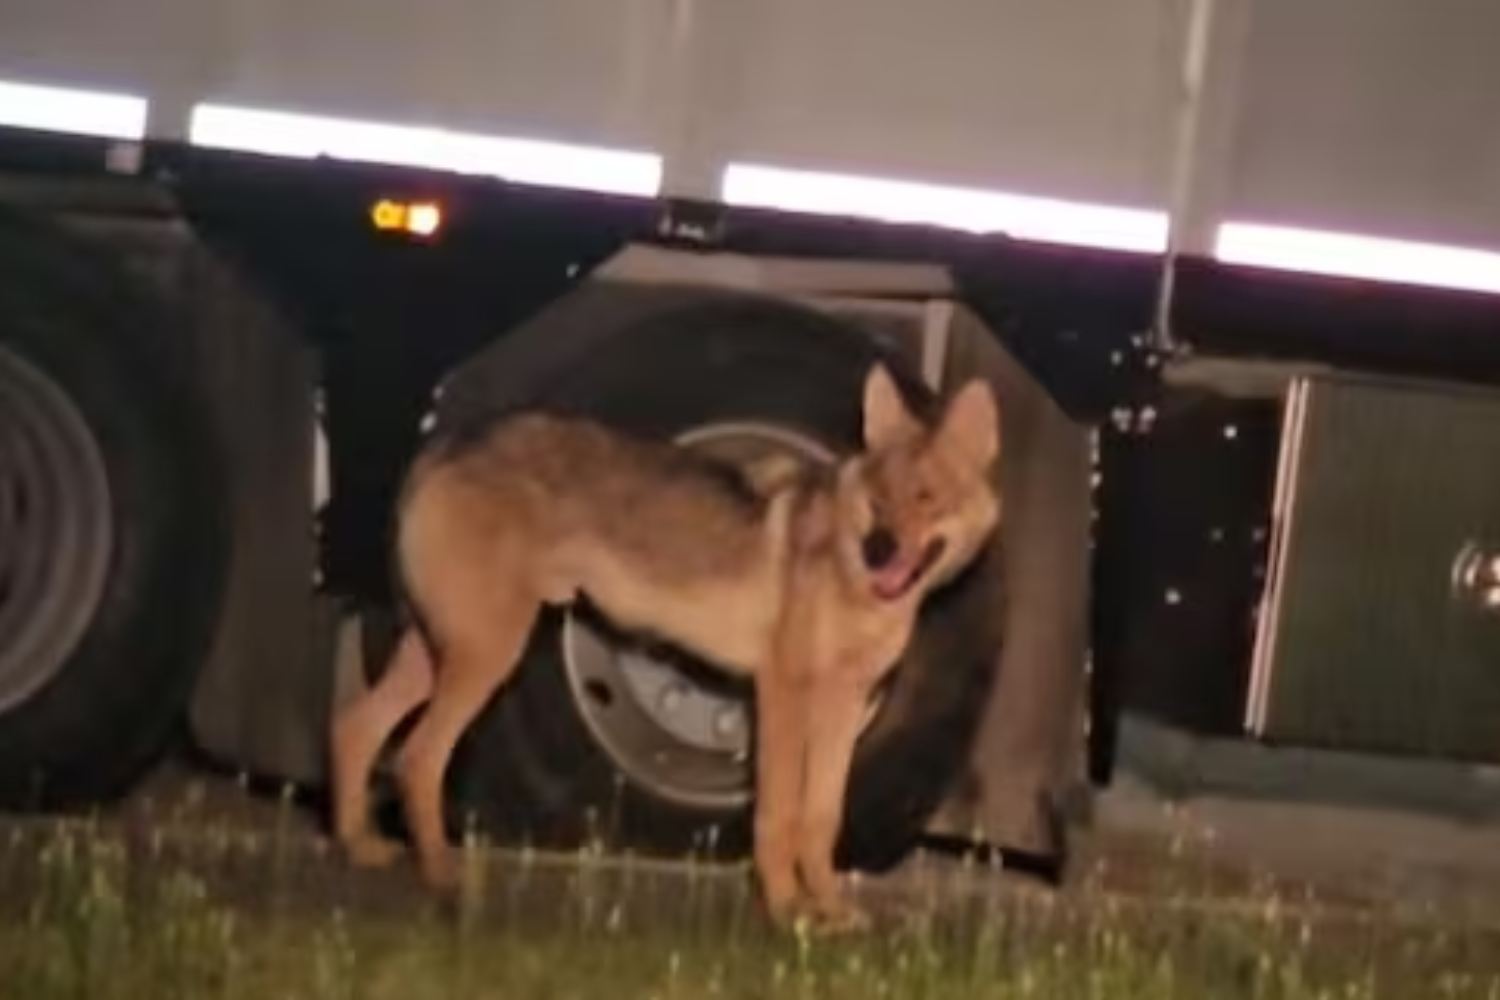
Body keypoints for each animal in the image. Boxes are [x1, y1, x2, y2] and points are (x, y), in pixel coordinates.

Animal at [330, 363, 1001, 929]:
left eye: (925, 498)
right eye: (877, 500)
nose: (880, 549)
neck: (853, 575)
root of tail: (445, 445)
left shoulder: (843, 704)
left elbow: (820, 818)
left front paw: (831, 913)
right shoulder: (781, 692)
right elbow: (779, 814)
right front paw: (785, 911)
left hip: (439, 654)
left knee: (356, 726)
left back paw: (359, 847)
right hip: (484, 656)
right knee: (417, 757)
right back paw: (444, 879)